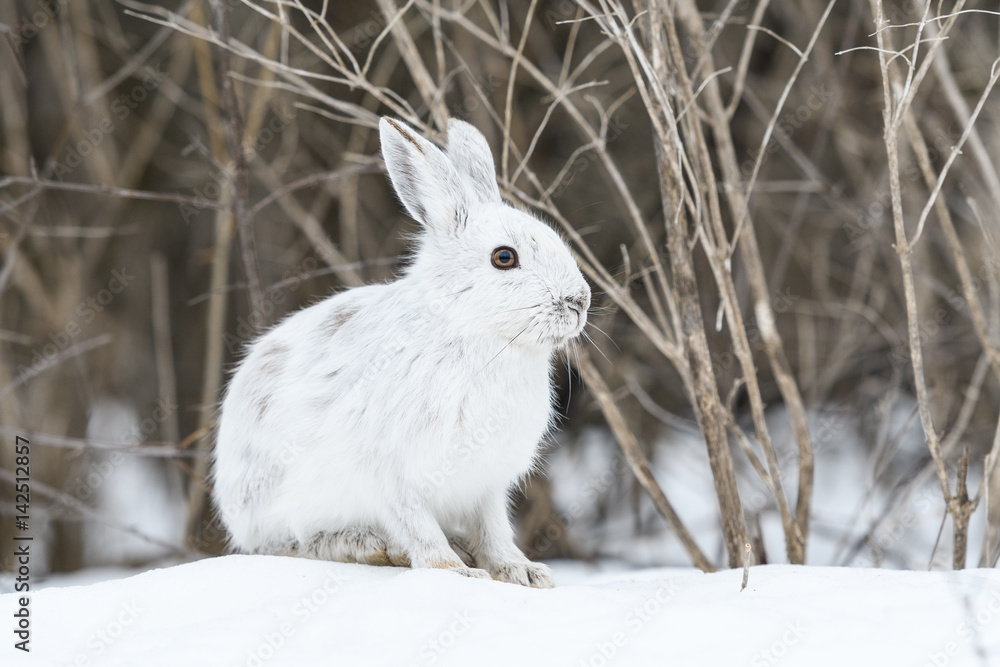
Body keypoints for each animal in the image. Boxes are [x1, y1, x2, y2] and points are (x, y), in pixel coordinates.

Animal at [211, 116, 591, 588]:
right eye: (504, 257)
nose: (579, 301)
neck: (479, 337)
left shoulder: (487, 484)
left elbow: (494, 530)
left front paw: (521, 572)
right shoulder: (394, 477)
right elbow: (418, 526)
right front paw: (455, 572)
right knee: (288, 544)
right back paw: (374, 547)